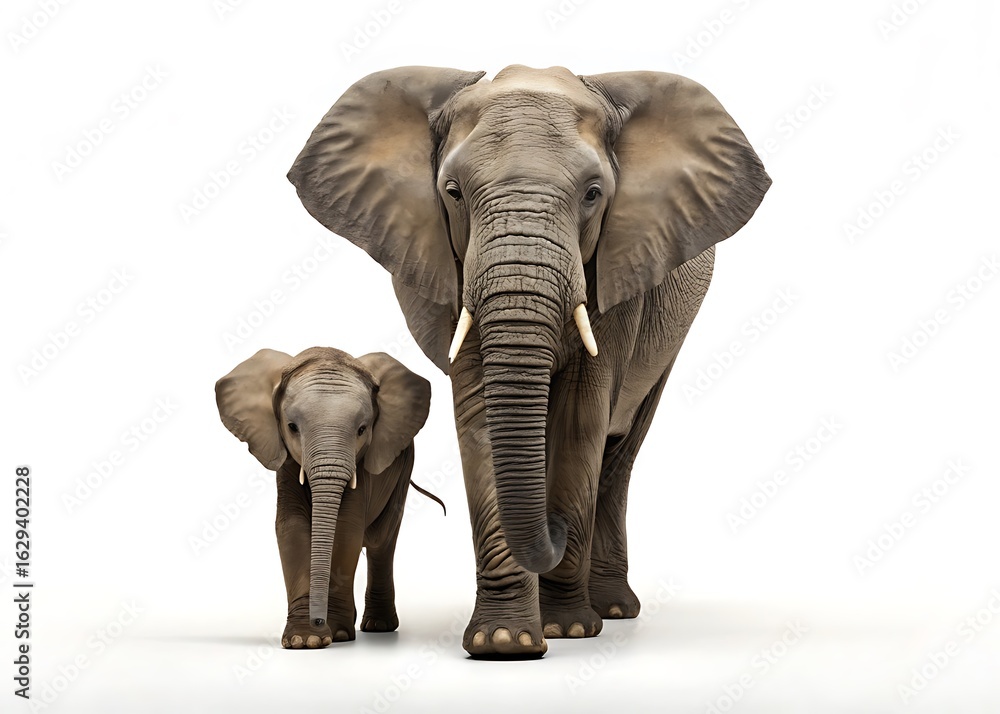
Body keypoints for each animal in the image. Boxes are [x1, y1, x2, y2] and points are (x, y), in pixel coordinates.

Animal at [215, 347, 432, 648]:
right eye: (292, 427)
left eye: (362, 429)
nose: (318, 621)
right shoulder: (287, 462)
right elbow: (291, 528)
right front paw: (305, 640)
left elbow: (346, 529)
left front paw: (336, 634)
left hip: (402, 466)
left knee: (381, 541)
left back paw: (378, 626)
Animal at [287, 65, 770, 657]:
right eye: (452, 192)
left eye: (594, 195)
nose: (556, 532)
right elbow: (479, 420)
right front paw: (504, 642)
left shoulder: (617, 267)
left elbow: (581, 419)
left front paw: (568, 629)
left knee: (620, 450)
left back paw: (613, 609)